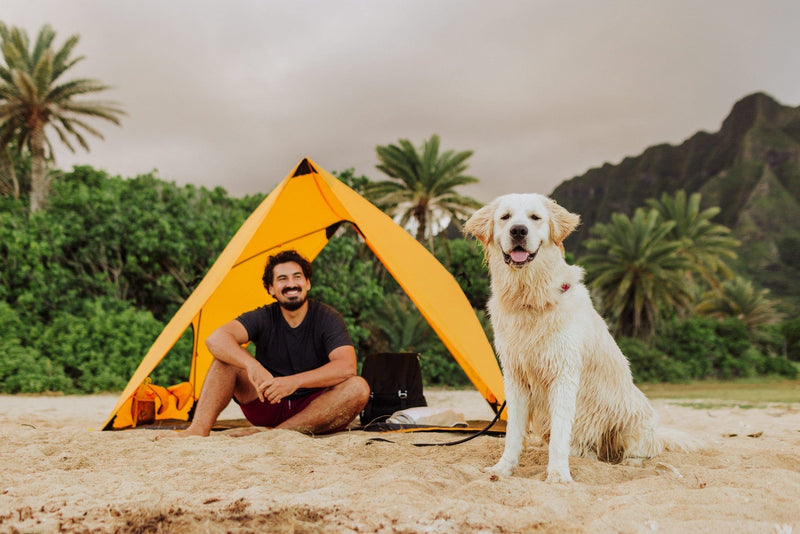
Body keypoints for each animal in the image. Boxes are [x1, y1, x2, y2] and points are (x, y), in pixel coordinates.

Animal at [462, 194, 692, 486]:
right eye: (505, 217)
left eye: (535, 218)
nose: (518, 231)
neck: (530, 299)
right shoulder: (515, 377)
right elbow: (513, 432)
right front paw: (503, 469)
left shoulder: (564, 374)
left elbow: (560, 434)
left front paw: (559, 475)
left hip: (632, 418)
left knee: (642, 451)